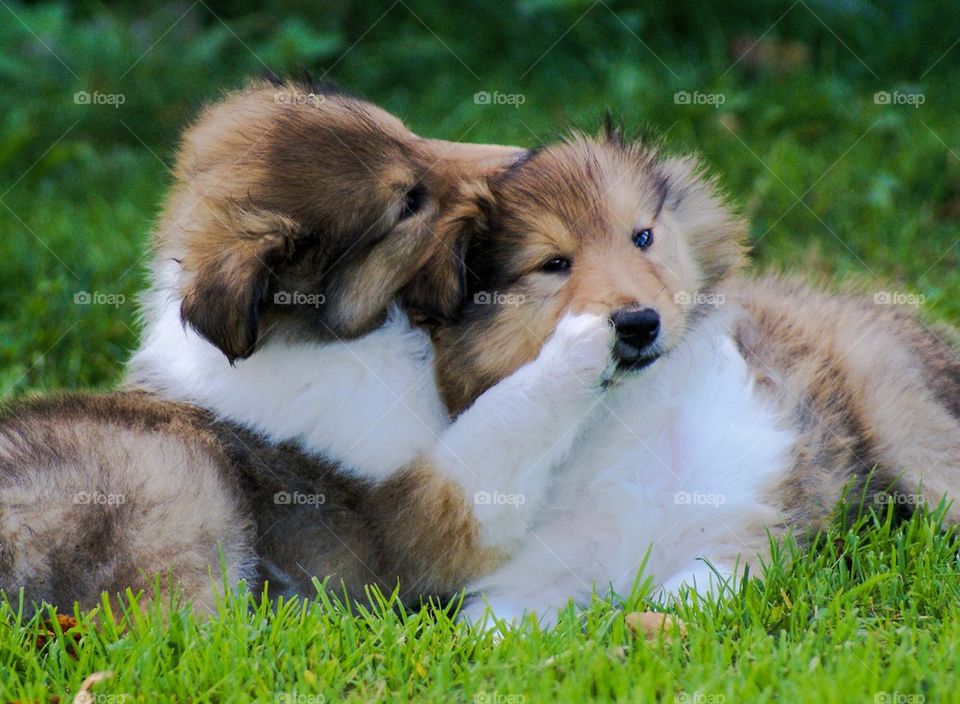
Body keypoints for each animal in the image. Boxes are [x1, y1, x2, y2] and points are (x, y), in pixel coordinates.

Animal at [430, 128, 960, 628]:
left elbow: (679, 596)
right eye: (554, 264)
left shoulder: (740, 535)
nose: (639, 324)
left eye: (642, 237)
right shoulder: (523, 580)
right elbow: (492, 631)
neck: (627, 416)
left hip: (903, 421)